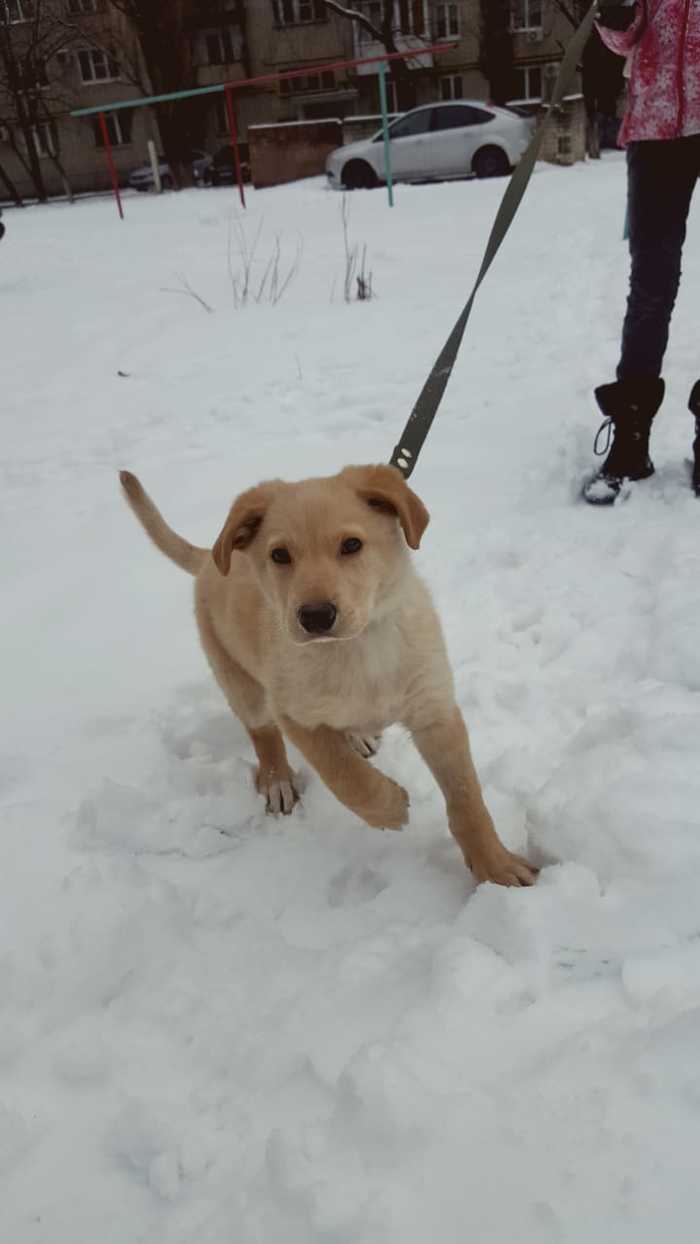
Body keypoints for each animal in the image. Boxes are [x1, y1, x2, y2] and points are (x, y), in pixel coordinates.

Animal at [120, 465, 537, 885]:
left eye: (351, 545)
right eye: (279, 555)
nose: (316, 616)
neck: (357, 648)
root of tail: (212, 558)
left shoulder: (435, 710)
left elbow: (467, 799)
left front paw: (496, 867)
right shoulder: (294, 715)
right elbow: (345, 776)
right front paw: (390, 807)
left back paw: (358, 736)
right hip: (239, 681)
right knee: (262, 734)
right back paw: (278, 780)